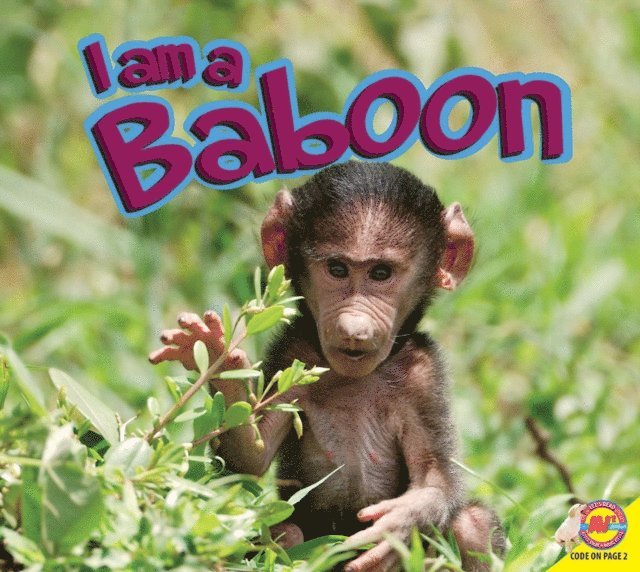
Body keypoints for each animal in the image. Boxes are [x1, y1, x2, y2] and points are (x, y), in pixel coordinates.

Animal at [149, 162, 505, 571]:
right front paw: (216, 356)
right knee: (285, 532)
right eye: (337, 269)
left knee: (472, 524)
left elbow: (437, 478)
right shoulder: (292, 352)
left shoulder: (423, 374)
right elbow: (249, 459)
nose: (353, 327)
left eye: (381, 273)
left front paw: (401, 522)